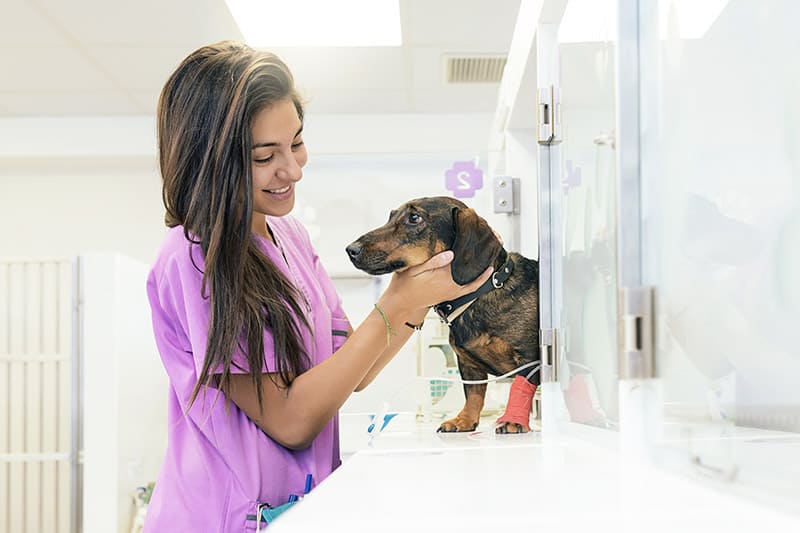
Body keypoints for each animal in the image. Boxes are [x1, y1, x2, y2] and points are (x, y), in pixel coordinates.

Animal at [346, 195, 540, 432]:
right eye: (390, 216)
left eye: (414, 217)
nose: (351, 250)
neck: (482, 294)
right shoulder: (468, 366)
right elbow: (473, 395)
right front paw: (464, 420)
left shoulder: (528, 358)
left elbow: (521, 387)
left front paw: (513, 420)